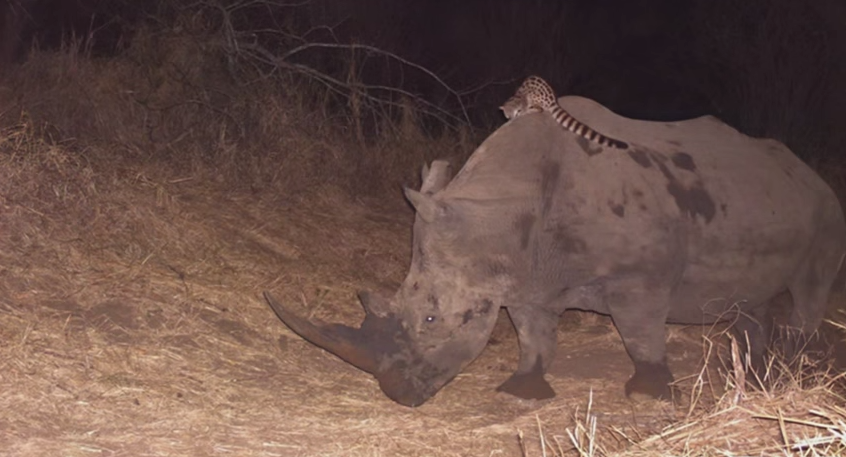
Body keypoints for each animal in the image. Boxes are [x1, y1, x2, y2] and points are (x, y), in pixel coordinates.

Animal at [264, 95, 846, 407]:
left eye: (430, 318)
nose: (398, 393)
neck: (496, 217)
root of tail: (807, 172)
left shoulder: (637, 278)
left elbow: (639, 331)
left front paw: (649, 393)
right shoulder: (525, 275)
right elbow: (533, 334)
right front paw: (523, 390)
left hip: (824, 207)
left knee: (810, 286)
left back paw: (790, 372)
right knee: (752, 298)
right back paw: (753, 371)